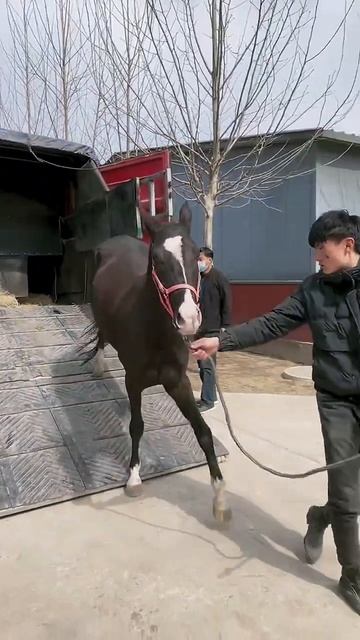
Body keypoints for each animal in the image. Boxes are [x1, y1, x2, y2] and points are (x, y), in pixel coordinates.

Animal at [83, 206, 231, 524]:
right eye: (158, 259)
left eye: (195, 255)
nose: (189, 319)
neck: (156, 329)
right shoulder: (134, 380)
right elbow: (137, 426)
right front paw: (134, 478)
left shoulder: (178, 382)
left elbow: (203, 433)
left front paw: (220, 499)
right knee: (100, 333)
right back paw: (99, 365)